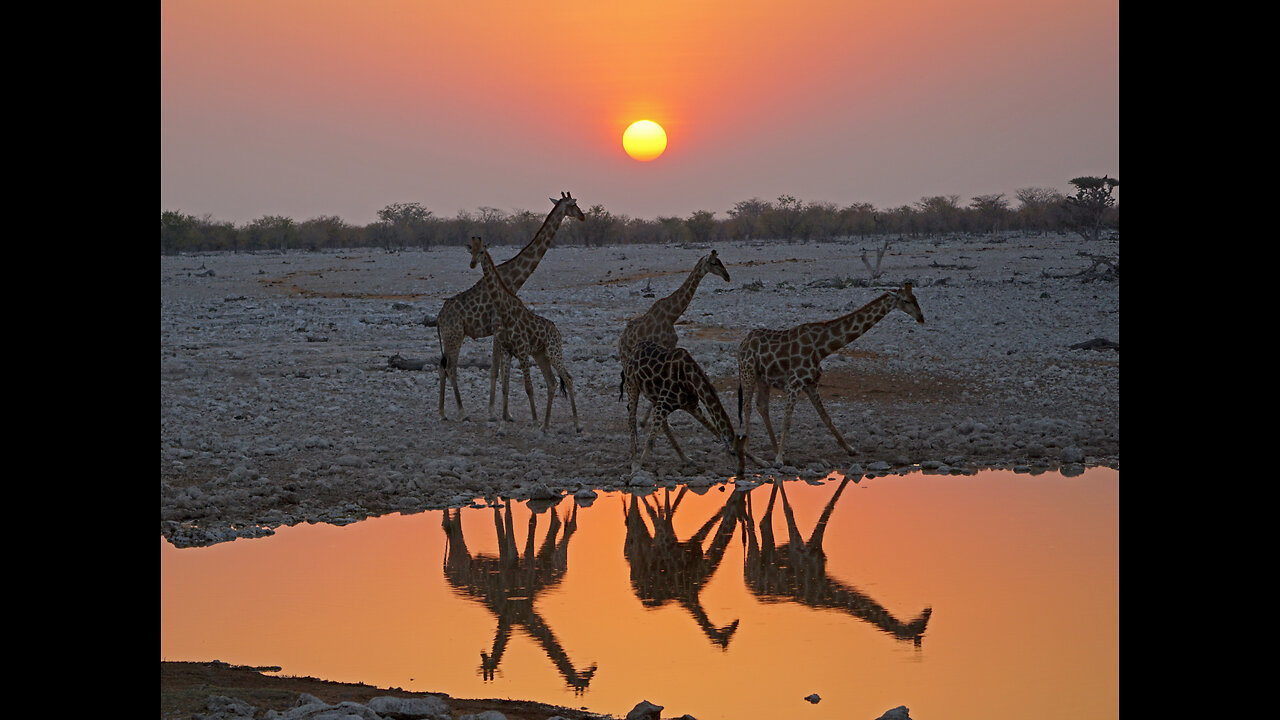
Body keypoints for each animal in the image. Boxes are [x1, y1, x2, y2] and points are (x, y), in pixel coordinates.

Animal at [471, 235, 581, 430]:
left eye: (482, 251)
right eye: (471, 250)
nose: (473, 263)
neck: (505, 312)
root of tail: (557, 331)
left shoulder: (522, 350)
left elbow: (528, 387)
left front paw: (534, 420)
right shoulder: (507, 350)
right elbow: (505, 386)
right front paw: (504, 420)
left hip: (553, 352)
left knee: (568, 379)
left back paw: (575, 424)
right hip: (540, 355)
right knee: (552, 382)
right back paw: (546, 425)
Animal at [616, 248, 732, 409]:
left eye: (720, 261)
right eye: (714, 263)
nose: (727, 276)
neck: (672, 316)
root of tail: (621, 340)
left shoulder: (670, 346)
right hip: (625, 358)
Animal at [622, 338, 752, 474]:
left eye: (741, 454)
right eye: (732, 453)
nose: (740, 472)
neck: (690, 380)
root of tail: (636, 347)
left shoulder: (692, 407)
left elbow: (714, 430)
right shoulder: (664, 403)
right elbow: (650, 441)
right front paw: (636, 469)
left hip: (654, 397)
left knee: (663, 425)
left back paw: (686, 459)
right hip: (631, 384)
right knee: (632, 420)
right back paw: (634, 461)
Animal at [737, 284, 926, 466]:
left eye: (916, 298)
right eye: (906, 300)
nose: (921, 318)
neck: (822, 348)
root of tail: (742, 344)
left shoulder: (810, 383)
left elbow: (826, 417)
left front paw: (850, 449)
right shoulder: (795, 383)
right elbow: (787, 421)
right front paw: (779, 460)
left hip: (763, 377)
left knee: (762, 406)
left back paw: (773, 449)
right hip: (748, 371)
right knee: (746, 406)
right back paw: (752, 455)